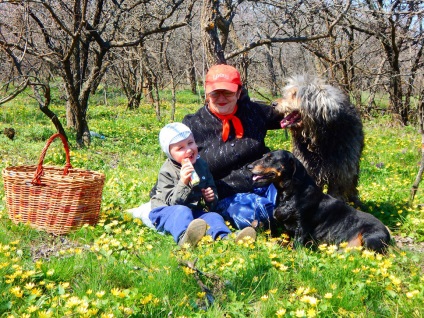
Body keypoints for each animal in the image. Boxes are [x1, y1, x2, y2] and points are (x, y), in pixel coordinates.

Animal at [248, 150, 390, 253]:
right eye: (263, 156)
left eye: (270, 159)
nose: (248, 166)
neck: (292, 195)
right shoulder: (287, 229)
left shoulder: (301, 227)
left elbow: (295, 245)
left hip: (369, 238)